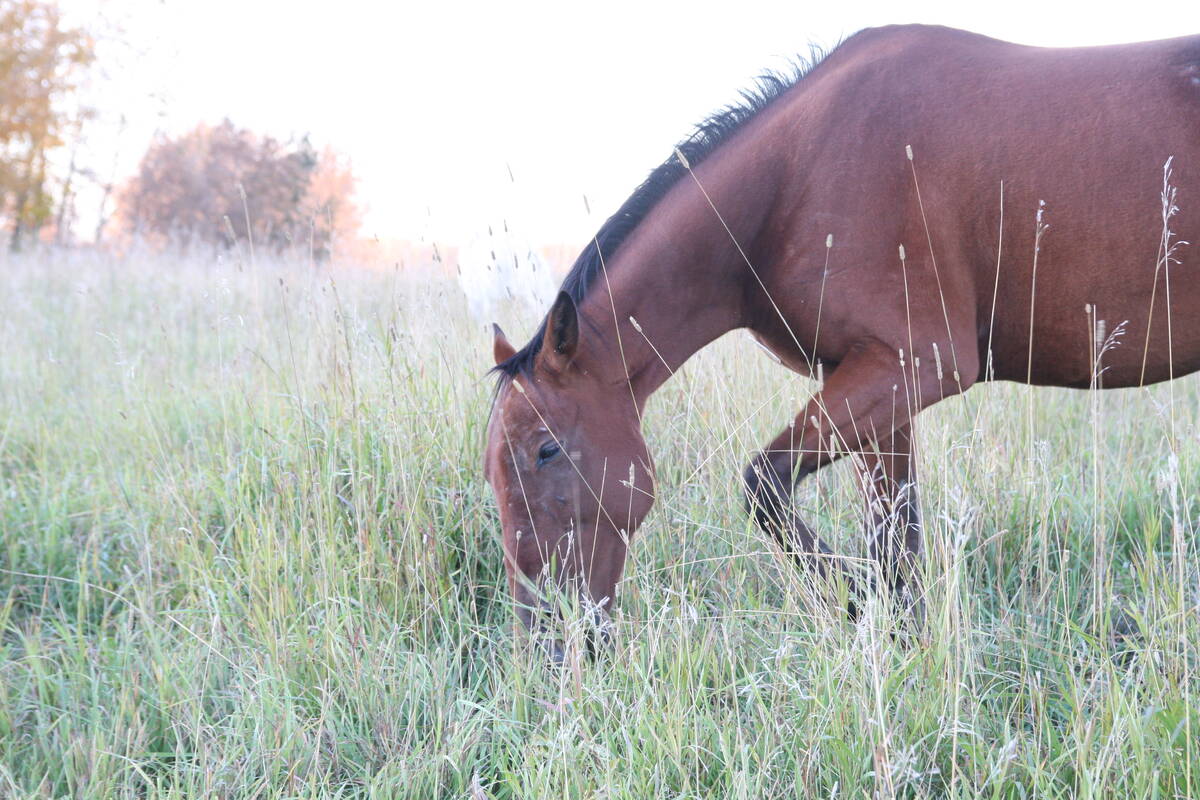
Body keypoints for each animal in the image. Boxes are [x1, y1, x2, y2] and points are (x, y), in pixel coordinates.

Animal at [483, 24, 1200, 656]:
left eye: (546, 450)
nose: (545, 635)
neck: (793, 178)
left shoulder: (914, 366)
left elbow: (767, 487)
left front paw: (863, 598)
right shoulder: (875, 380)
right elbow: (894, 534)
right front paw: (903, 635)